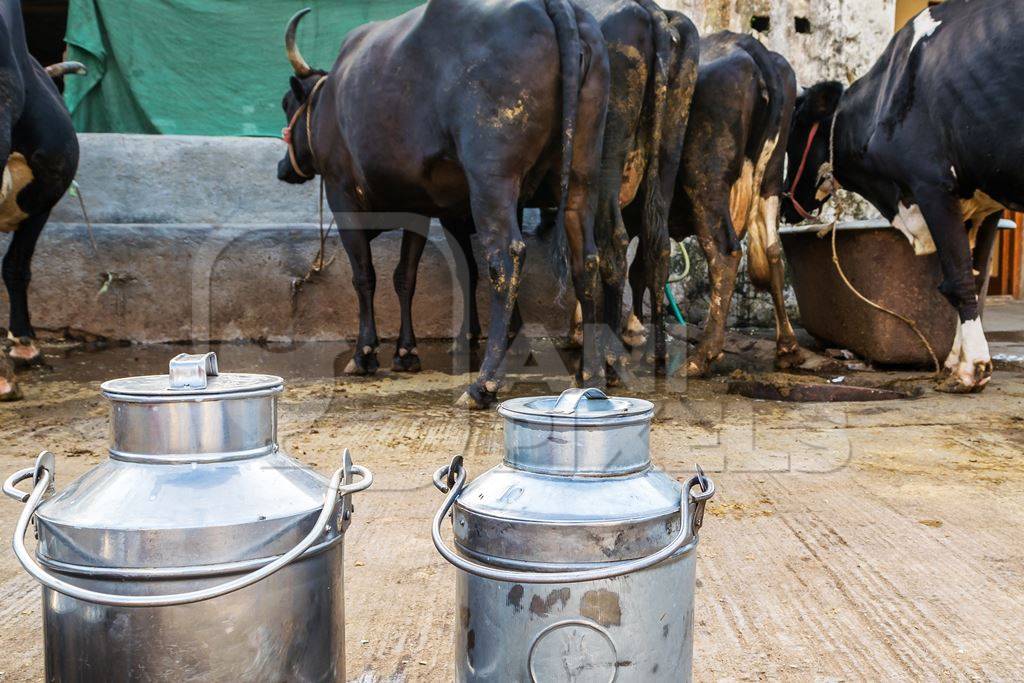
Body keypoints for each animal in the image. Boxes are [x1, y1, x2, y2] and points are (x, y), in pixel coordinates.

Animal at [276, 2, 606, 409]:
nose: (283, 168)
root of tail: (550, 6)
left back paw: (483, 383)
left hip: (491, 179)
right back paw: (591, 372)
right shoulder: (419, 209)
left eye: (286, 103)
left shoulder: (342, 196)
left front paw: (365, 353)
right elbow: (405, 276)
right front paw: (406, 352)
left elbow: (364, 275)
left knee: (506, 258)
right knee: (585, 259)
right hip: (581, 176)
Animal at [622, 31, 798, 376]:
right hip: (770, 180)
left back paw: (701, 356)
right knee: (772, 250)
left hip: (705, 180)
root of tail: (747, 44)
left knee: (724, 253)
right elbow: (640, 268)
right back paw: (787, 348)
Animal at [778, 0, 1019, 393]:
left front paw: (972, 369)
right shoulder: (986, 202)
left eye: (795, 131)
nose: (785, 204)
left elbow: (959, 279)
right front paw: (955, 360)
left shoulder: (932, 185)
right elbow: (974, 274)